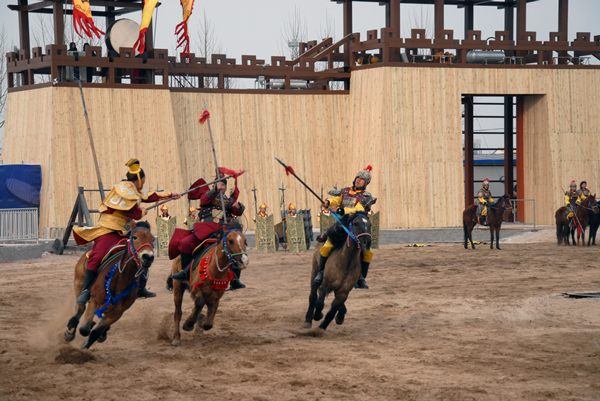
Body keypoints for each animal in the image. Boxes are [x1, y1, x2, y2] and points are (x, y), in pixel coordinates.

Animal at [63, 220, 156, 348]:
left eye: (153, 239)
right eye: (134, 237)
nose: (147, 257)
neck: (120, 281)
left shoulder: (118, 312)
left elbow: (95, 333)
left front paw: (87, 344)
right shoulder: (95, 301)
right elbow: (85, 329)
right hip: (78, 283)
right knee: (80, 306)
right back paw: (70, 331)